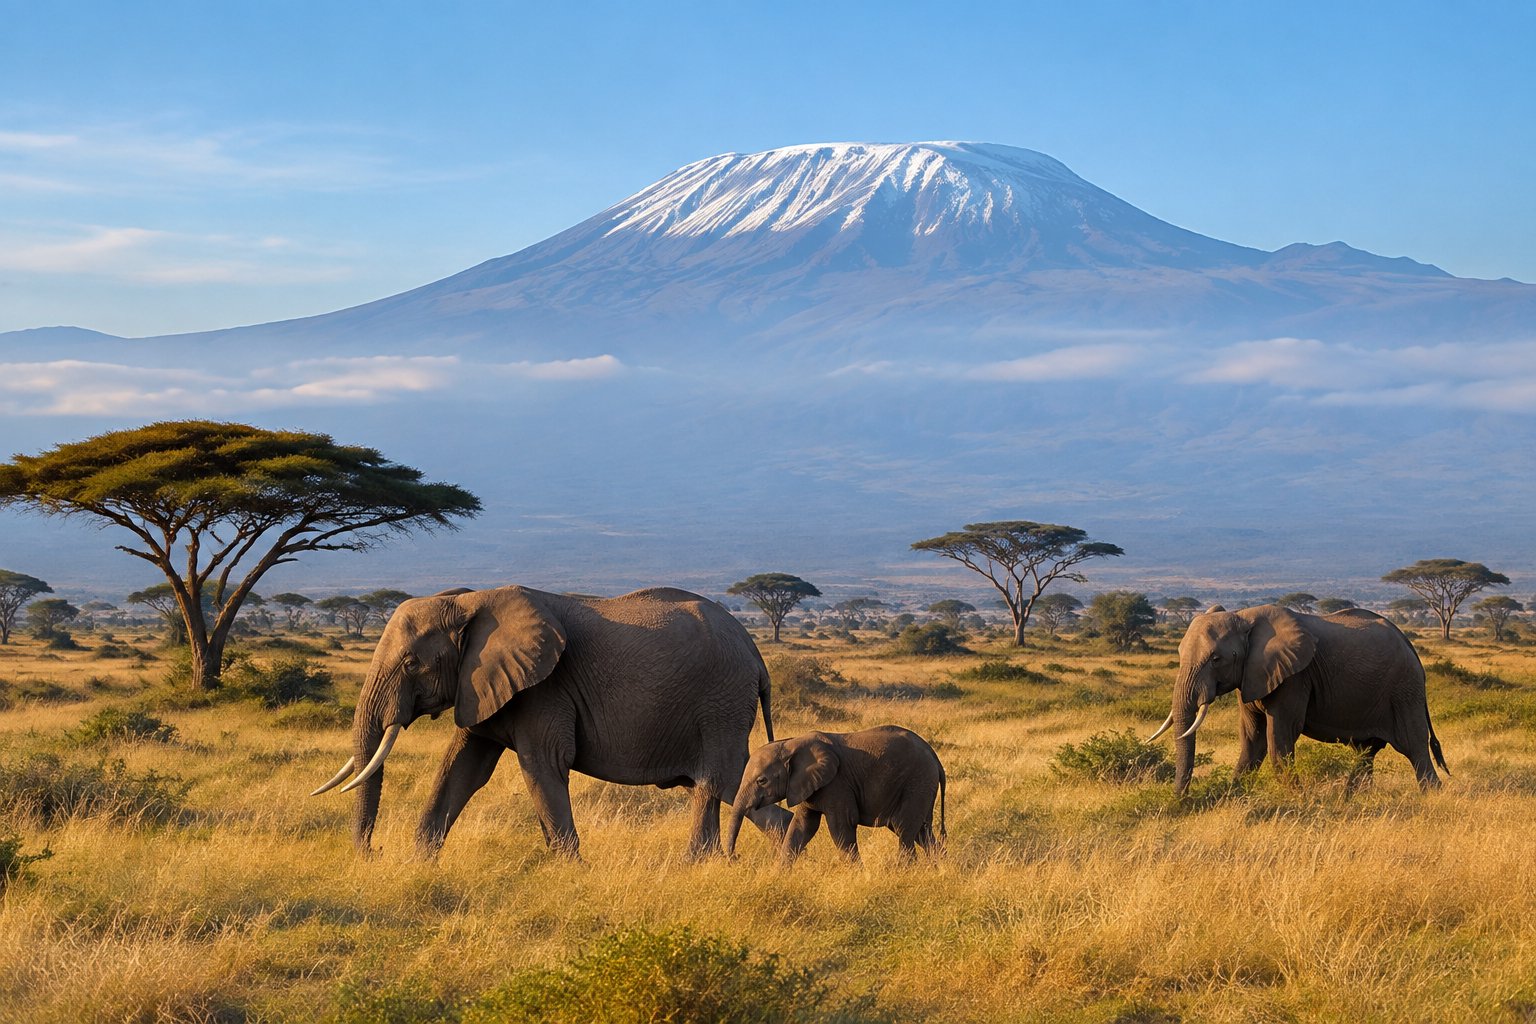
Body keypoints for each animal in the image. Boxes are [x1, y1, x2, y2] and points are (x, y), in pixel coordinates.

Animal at [311, 585, 792, 858]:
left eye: (412, 663)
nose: (372, 851)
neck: (466, 600)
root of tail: (757, 657)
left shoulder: (546, 688)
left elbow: (542, 766)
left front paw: (570, 869)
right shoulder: (482, 684)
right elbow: (463, 768)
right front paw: (420, 862)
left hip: (720, 704)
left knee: (716, 782)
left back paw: (702, 864)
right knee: (734, 787)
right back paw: (786, 854)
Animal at [725, 725, 946, 865]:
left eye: (762, 781)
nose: (735, 857)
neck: (791, 743)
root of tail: (934, 756)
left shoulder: (837, 784)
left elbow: (841, 828)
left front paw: (857, 875)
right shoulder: (807, 785)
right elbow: (802, 827)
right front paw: (779, 875)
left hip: (917, 781)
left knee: (904, 829)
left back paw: (906, 871)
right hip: (921, 786)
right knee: (922, 832)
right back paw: (938, 869)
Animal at [1149, 604, 1448, 795]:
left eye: (1216, 659)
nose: (1180, 799)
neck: (1244, 617)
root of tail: (1408, 643)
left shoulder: (1294, 677)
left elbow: (1279, 736)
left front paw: (1297, 799)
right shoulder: (1252, 676)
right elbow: (1252, 740)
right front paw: (1232, 796)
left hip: (1404, 688)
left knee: (1414, 747)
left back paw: (1432, 796)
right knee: (1366, 751)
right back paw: (1351, 797)